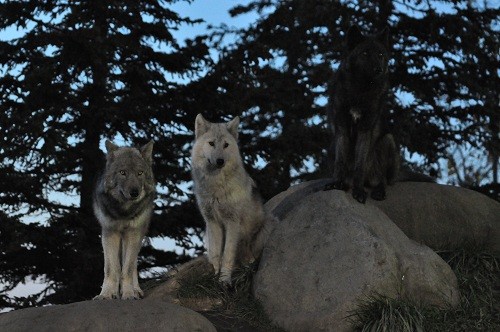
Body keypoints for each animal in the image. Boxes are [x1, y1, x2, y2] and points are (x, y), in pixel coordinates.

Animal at [93, 139, 155, 300]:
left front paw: (128, 293)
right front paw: (106, 294)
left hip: (138, 234)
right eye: (122, 173)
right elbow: (111, 269)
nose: (134, 192)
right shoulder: (109, 233)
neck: (124, 212)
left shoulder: (133, 233)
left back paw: (135, 289)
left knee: (132, 264)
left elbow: (127, 269)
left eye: (140, 173)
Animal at [191, 115, 270, 286]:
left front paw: (224, 280)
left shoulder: (232, 222)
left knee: (251, 258)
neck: (216, 186)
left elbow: (227, 254)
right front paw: (214, 277)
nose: (220, 161)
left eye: (226, 145)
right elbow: (216, 254)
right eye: (211, 143)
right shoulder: (212, 222)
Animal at [324, 25, 398, 202]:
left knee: (381, 180)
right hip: (331, 147)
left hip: (387, 140)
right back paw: (344, 183)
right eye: (365, 53)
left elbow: (360, 166)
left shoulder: (365, 130)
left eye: (380, 55)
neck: (360, 91)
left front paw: (358, 191)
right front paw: (336, 183)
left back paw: (377, 190)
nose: (379, 70)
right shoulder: (342, 128)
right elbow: (340, 163)